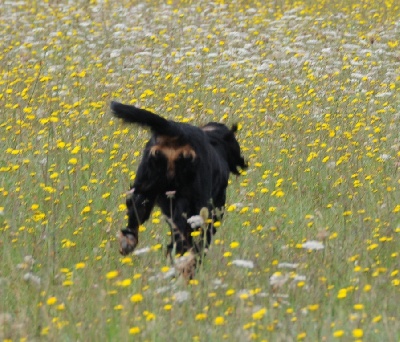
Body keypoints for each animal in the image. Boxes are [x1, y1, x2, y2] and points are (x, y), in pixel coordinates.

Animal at [110, 100, 247, 260]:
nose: (243, 163)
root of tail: (177, 132)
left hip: (144, 190)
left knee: (135, 219)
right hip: (191, 201)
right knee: (181, 240)